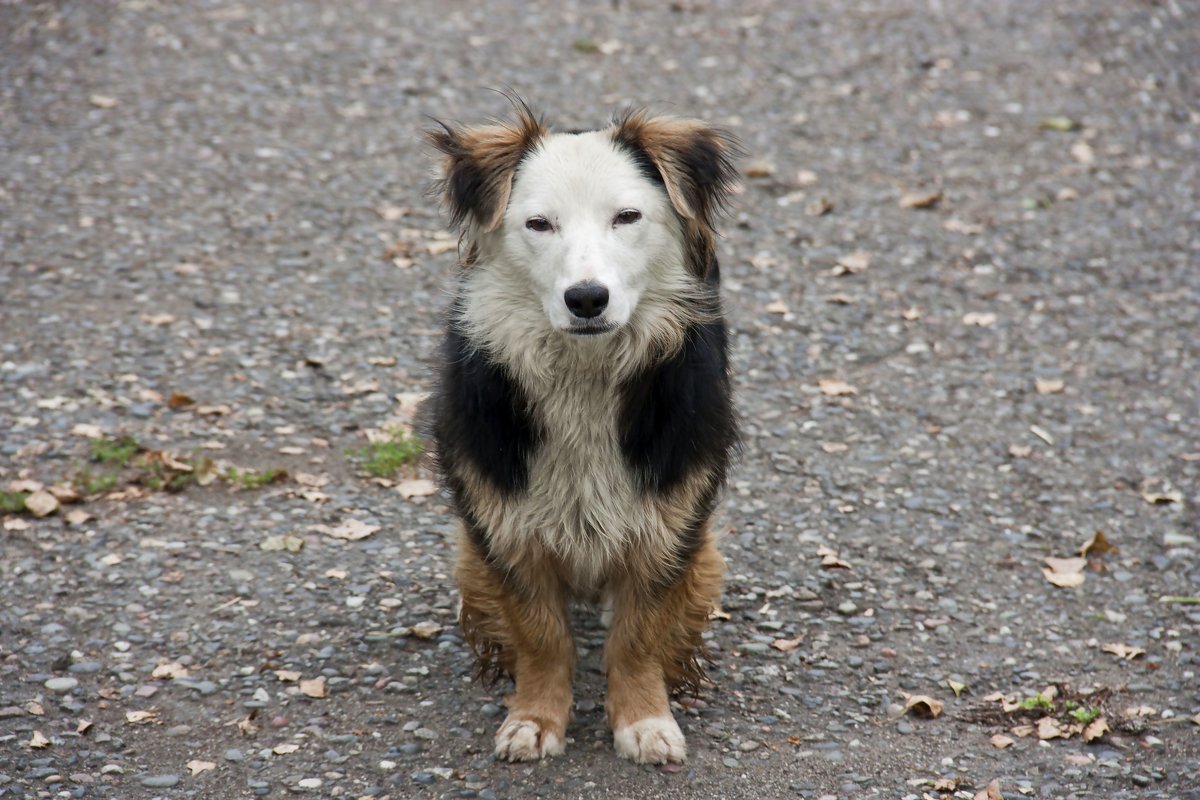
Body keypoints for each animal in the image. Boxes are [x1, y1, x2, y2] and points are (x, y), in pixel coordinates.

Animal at [427, 103, 734, 767]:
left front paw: (644, 719)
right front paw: (536, 718)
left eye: (628, 217)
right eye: (539, 224)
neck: (583, 372)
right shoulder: (506, 525)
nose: (587, 299)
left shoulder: (668, 523)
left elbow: (638, 636)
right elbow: (542, 637)